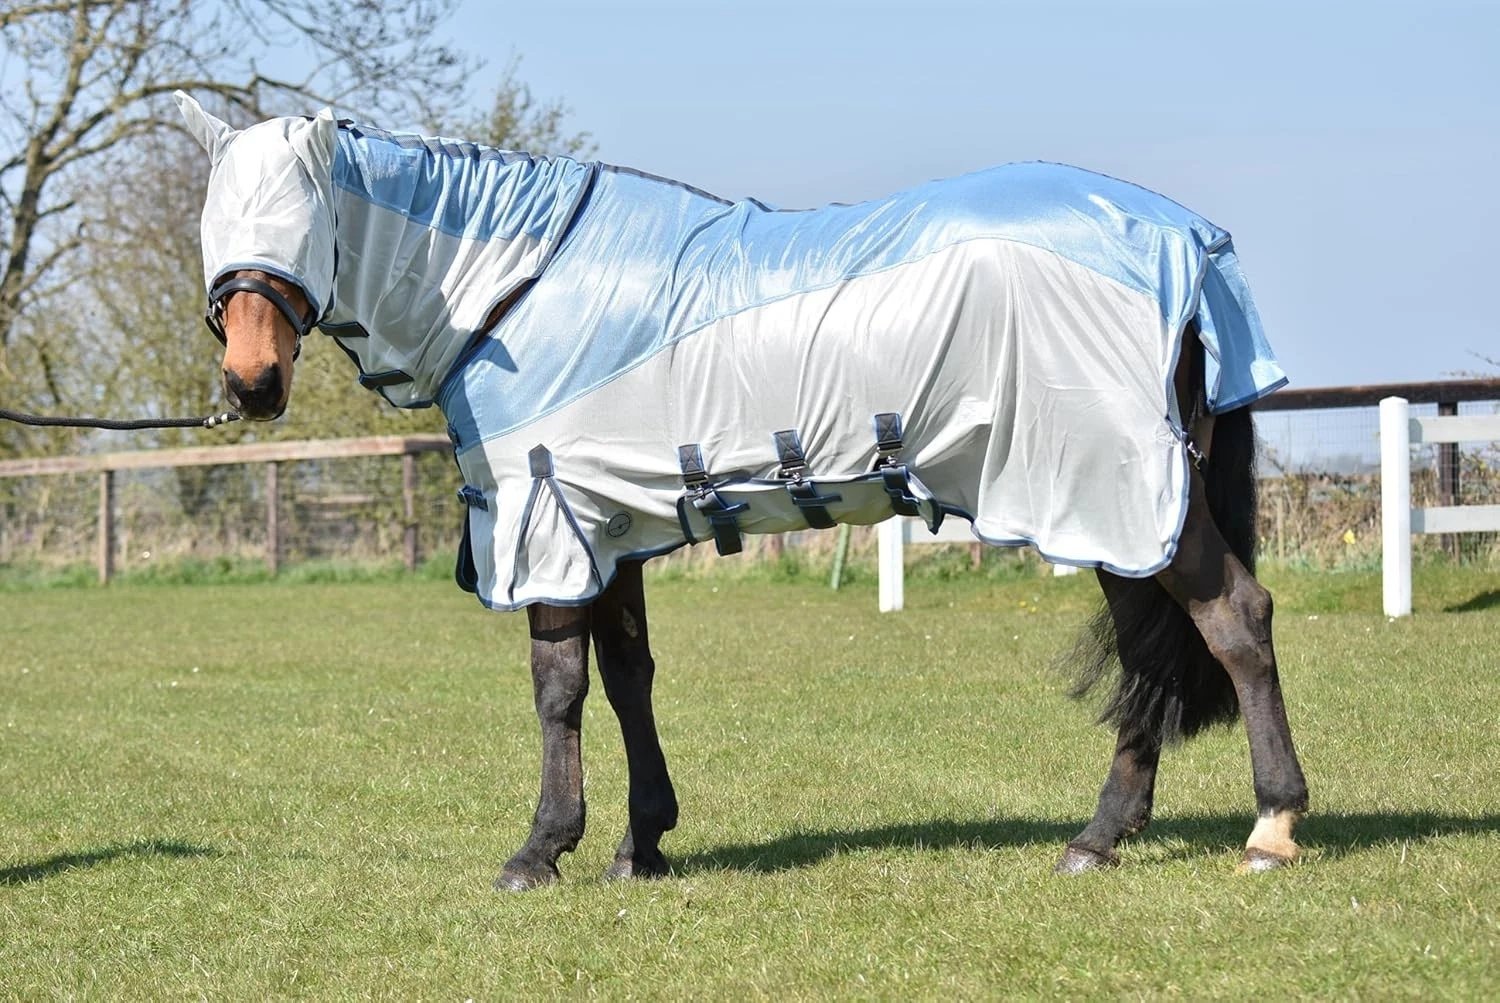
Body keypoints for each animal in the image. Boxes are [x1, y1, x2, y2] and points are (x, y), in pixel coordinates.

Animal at [174, 91, 1308, 889]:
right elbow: (627, 678)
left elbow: (559, 689)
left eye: (302, 218)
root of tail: (1183, 240)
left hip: (1117, 488)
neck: (517, 291)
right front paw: (641, 843)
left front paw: (541, 849)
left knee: (1235, 618)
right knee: (1152, 656)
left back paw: (1271, 825)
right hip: (1105, 505)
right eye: (215, 221)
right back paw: (1100, 837)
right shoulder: (611, 529)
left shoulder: (554, 524)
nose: (252, 380)